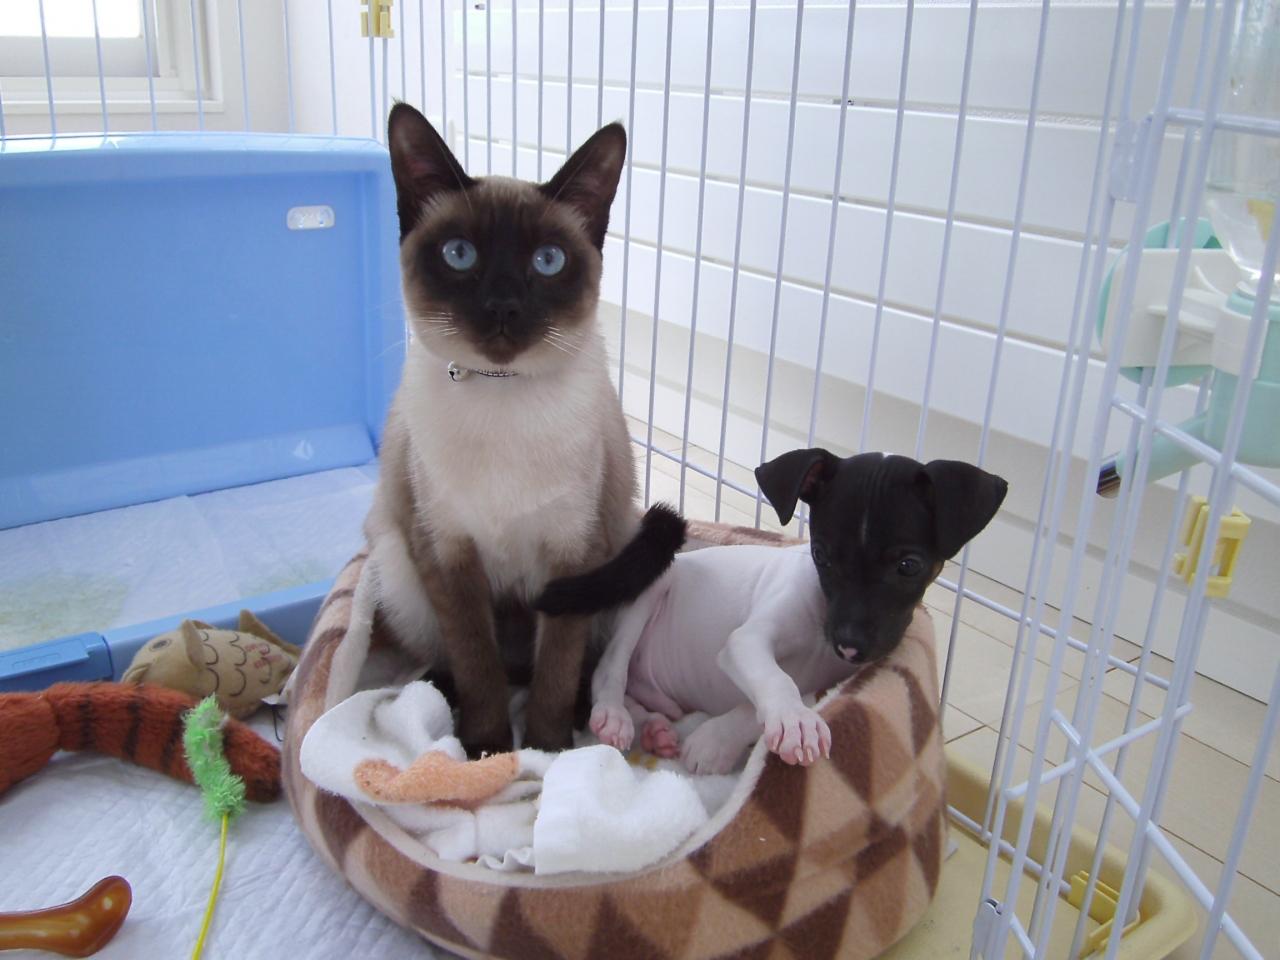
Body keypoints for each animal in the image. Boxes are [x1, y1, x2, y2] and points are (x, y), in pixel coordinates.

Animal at [361, 103, 650, 755]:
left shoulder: (574, 555)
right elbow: (477, 664)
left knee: (568, 666)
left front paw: (545, 753)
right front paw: (488, 751)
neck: (501, 390)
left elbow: (556, 670)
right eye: (459, 254)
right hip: (398, 568)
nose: (502, 307)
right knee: (464, 662)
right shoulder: (449, 554)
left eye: (548, 261)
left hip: (622, 549)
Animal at [536, 448, 1008, 774]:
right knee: (611, 670)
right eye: (821, 555)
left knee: (645, 697)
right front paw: (792, 722)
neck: (821, 622)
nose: (849, 646)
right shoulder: (746, 642)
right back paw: (615, 715)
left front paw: (718, 740)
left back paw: (655, 727)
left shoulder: (830, 682)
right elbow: (778, 679)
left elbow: (786, 695)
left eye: (908, 566)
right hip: (652, 586)